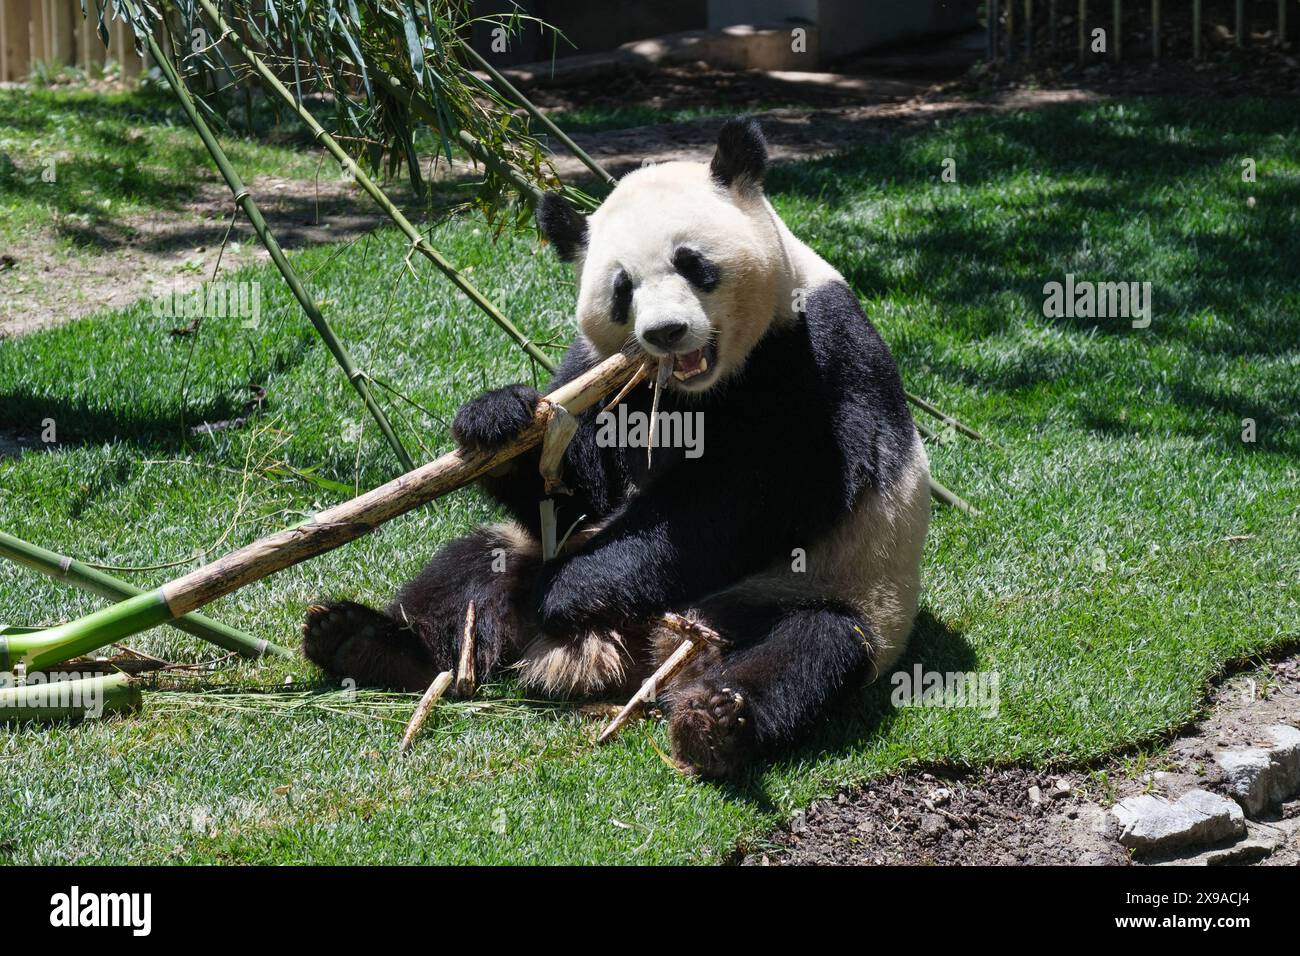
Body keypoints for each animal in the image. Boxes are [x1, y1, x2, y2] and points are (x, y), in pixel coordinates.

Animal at [303, 116, 931, 778]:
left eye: (692, 263)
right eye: (622, 289)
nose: (666, 332)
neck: (693, 388)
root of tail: (639, 655)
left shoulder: (816, 350)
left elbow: (762, 494)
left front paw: (578, 588)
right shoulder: (595, 370)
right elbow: (578, 494)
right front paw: (499, 419)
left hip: (815, 594)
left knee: (811, 647)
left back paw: (716, 720)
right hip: (522, 557)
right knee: (471, 571)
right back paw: (365, 643)